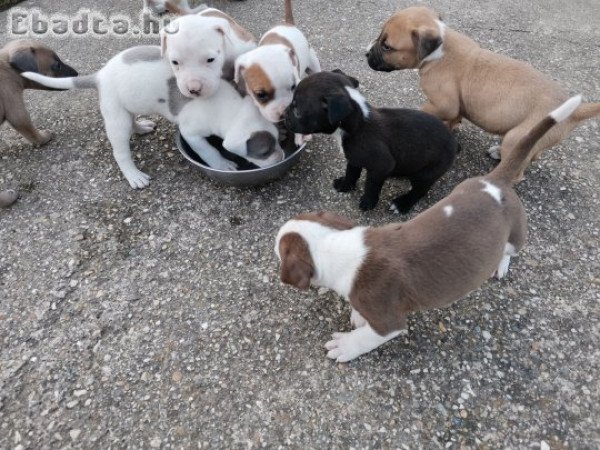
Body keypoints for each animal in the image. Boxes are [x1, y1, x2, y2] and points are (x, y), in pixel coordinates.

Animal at [278, 95, 584, 362]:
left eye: (279, 252)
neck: (336, 245)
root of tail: (496, 181)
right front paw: (358, 316)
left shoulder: (389, 321)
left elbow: (368, 337)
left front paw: (346, 345)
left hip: (516, 233)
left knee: (510, 250)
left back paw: (501, 265)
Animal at [284, 70, 458, 213]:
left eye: (297, 111)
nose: (284, 116)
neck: (356, 123)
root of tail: (454, 143)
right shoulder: (354, 158)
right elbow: (351, 172)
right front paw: (345, 185)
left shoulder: (381, 166)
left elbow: (371, 185)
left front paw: (368, 203)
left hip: (426, 173)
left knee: (419, 191)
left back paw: (402, 204)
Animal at [366, 5, 600, 179]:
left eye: (387, 46)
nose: (366, 53)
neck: (440, 49)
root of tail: (576, 110)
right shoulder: (456, 106)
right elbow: (454, 117)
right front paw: (451, 127)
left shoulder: (443, 104)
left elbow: (427, 109)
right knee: (531, 154)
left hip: (517, 135)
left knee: (518, 171)